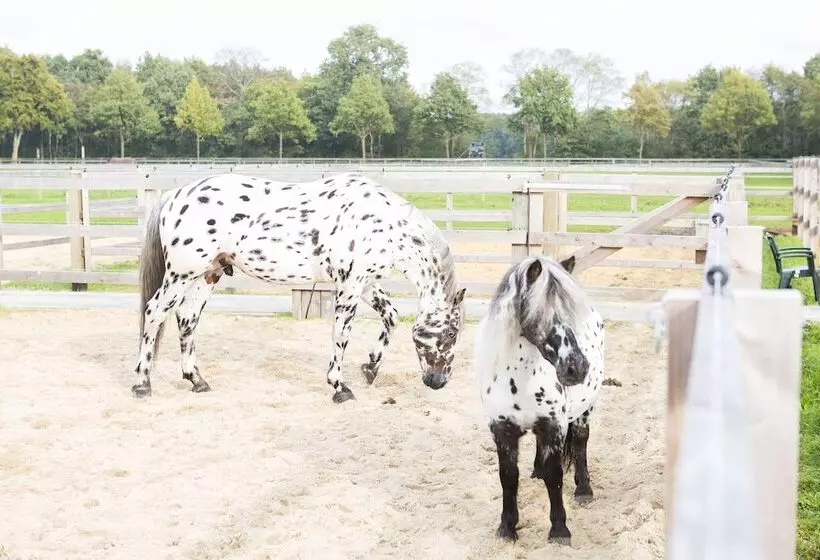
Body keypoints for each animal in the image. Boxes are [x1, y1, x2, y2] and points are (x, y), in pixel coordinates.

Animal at [132, 172, 467, 403]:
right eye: (452, 333)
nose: (438, 381)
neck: (382, 223)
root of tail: (175, 196)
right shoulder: (349, 283)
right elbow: (341, 334)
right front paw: (339, 387)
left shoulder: (366, 282)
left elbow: (391, 315)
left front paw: (370, 368)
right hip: (180, 274)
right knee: (155, 312)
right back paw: (142, 383)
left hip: (207, 274)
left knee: (187, 319)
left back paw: (196, 380)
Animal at [473, 254, 605, 545]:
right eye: (540, 312)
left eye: (570, 314)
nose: (577, 367)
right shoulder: (502, 429)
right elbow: (508, 477)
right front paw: (507, 527)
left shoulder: (554, 426)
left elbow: (555, 476)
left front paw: (559, 530)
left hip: (586, 408)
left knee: (580, 442)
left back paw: (584, 490)